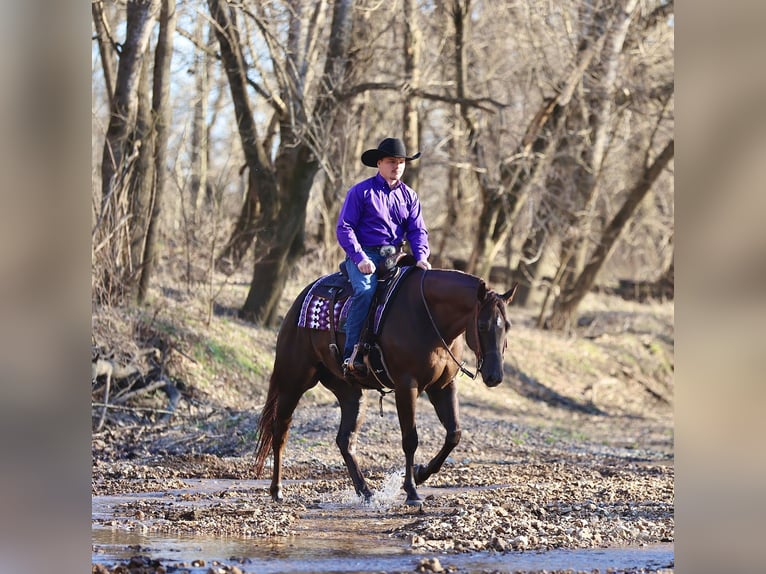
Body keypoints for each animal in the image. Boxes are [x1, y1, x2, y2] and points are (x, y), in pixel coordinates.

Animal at [253, 266, 517, 505]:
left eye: (507, 326)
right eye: (482, 325)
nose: (495, 376)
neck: (428, 317)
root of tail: (300, 300)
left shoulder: (443, 387)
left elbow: (454, 434)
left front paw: (421, 473)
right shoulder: (406, 386)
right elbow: (410, 439)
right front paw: (411, 491)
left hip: (350, 393)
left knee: (345, 440)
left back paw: (366, 492)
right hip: (293, 382)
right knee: (280, 431)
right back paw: (276, 490)